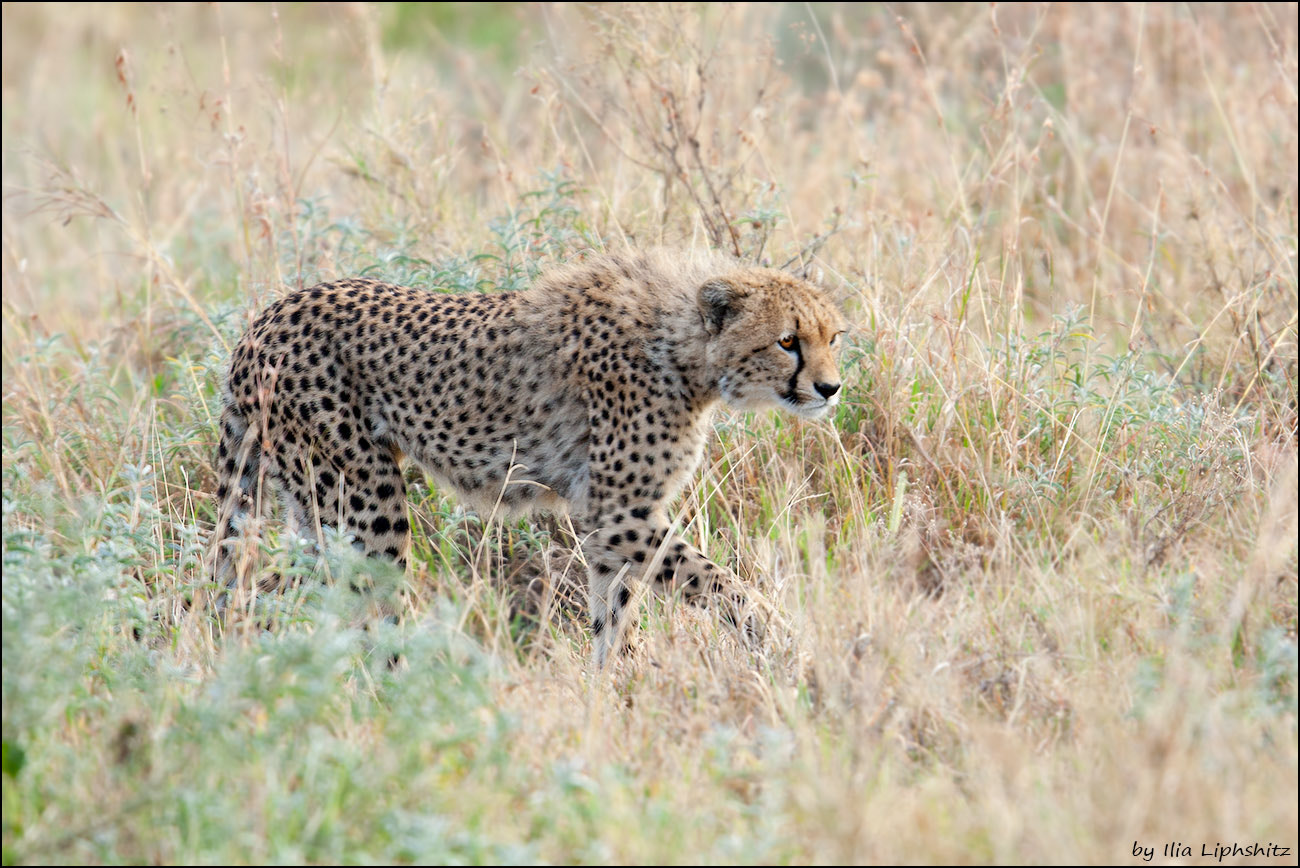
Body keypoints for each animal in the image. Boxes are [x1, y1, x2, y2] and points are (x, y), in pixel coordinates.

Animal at [213, 246, 842, 660]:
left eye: (833, 337)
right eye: (788, 341)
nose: (831, 388)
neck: (684, 346)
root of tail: (263, 320)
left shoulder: (612, 528)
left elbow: (613, 614)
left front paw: (613, 693)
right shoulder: (616, 516)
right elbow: (721, 582)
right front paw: (784, 642)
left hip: (313, 507)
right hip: (362, 503)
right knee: (329, 598)